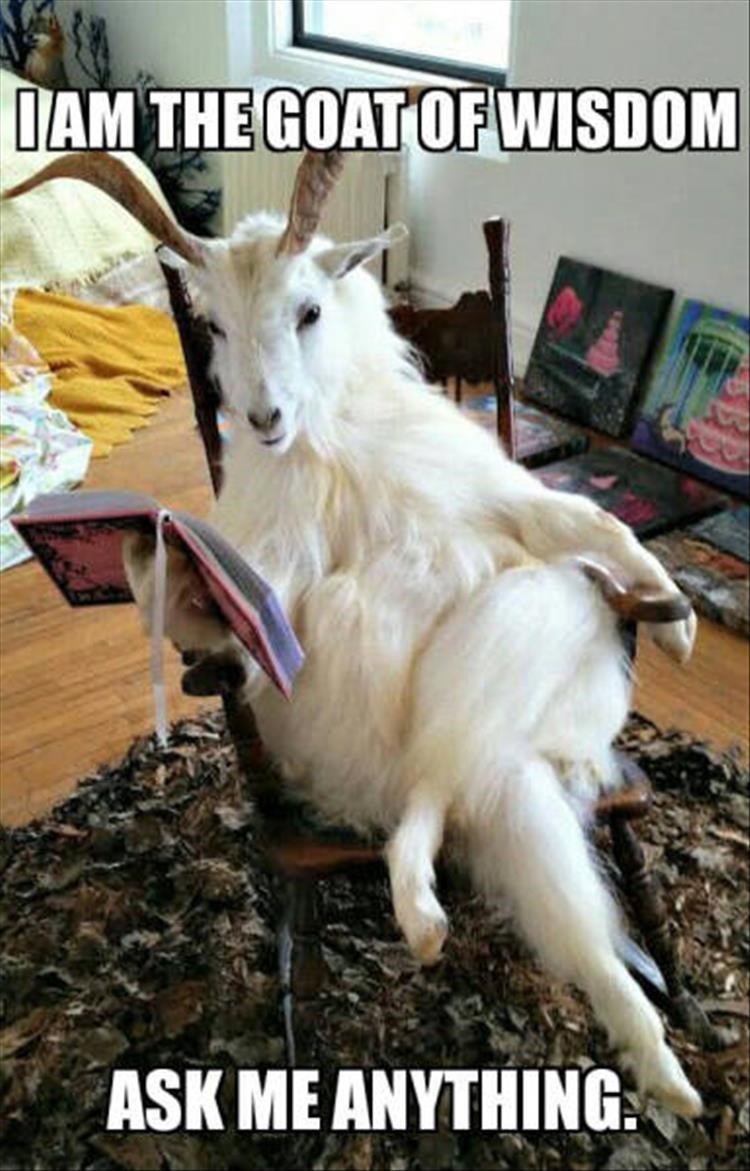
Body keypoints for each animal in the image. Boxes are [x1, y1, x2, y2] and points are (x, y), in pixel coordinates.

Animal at [6, 152, 700, 1116]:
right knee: (466, 815)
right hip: (484, 775)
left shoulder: (500, 497)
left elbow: (591, 523)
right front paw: (146, 551)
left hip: (530, 689)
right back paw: (444, 926)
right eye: (212, 323)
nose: (264, 418)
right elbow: (217, 630)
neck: (329, 445)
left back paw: (661, 1063)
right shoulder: (266, 586)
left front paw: (679, 626)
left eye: (308, 310)